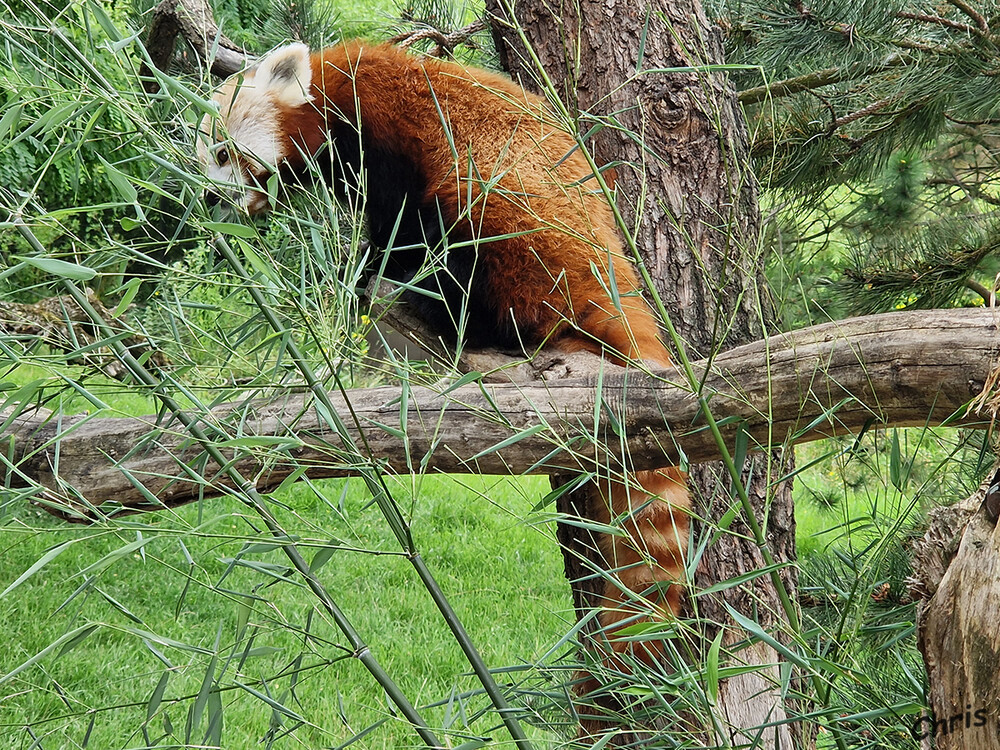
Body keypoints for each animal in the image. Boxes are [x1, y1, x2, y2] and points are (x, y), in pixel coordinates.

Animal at [199, 38, 692, 712]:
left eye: (224, 153)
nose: (208, 201)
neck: (331, 88)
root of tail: (610, 273)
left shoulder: (386, 139)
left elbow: (398, 226)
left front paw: (366, 271)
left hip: (508, 218)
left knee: (466, 245)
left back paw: (446, 312)